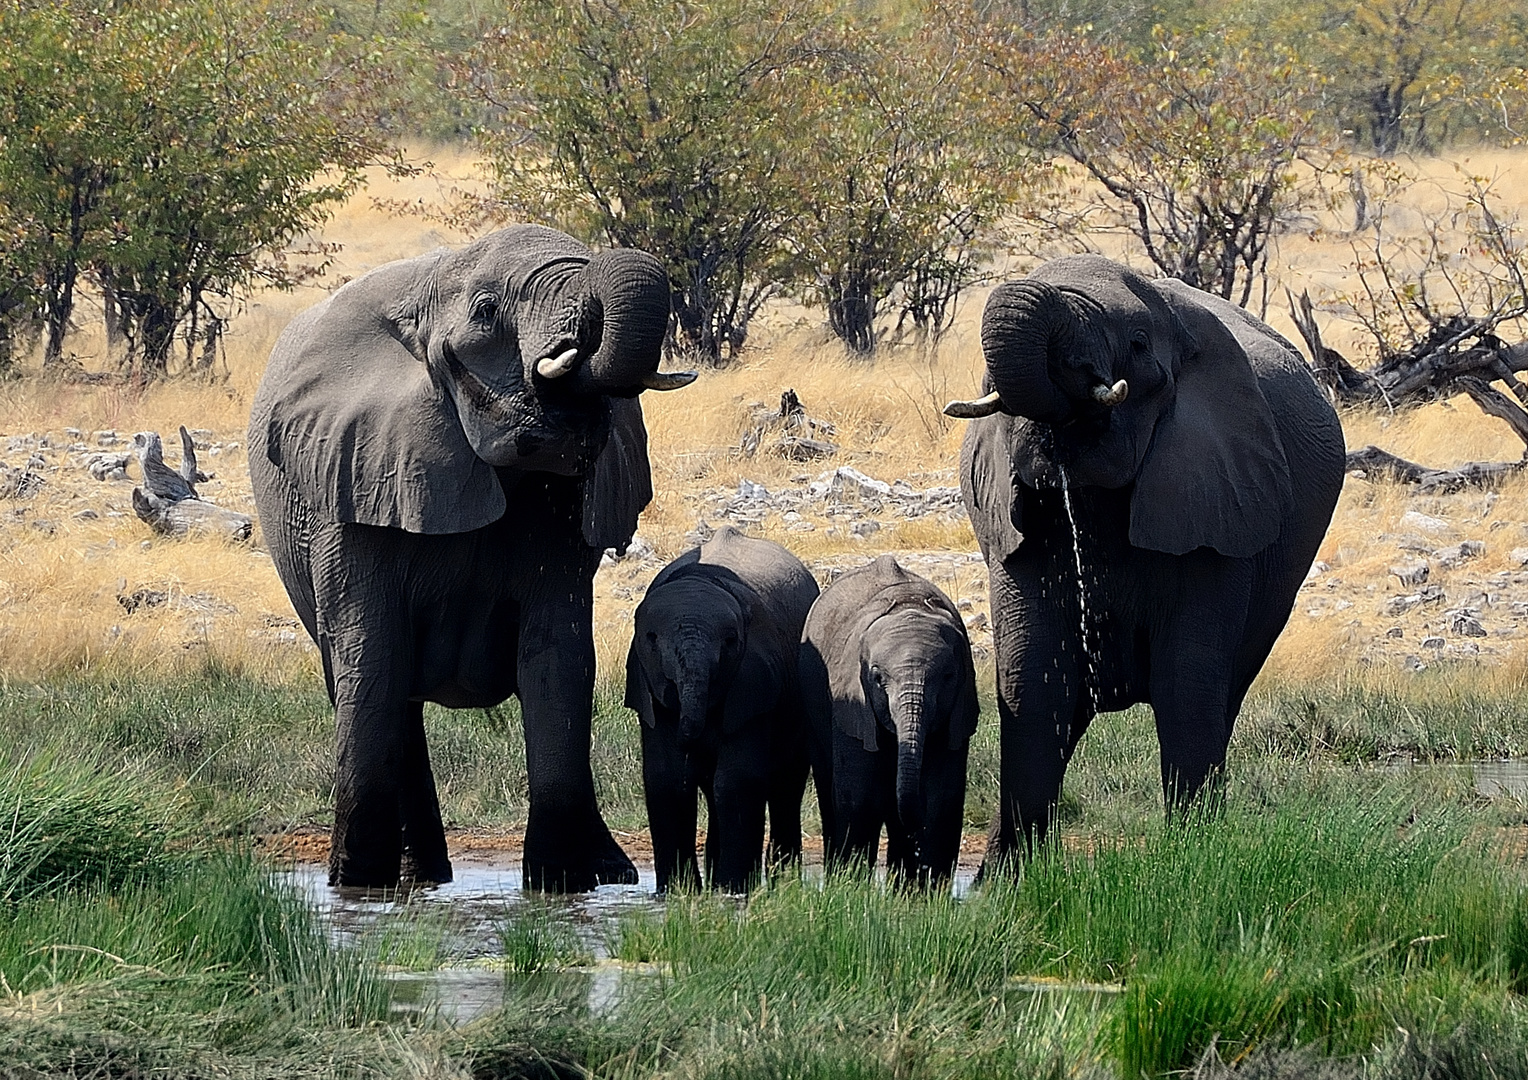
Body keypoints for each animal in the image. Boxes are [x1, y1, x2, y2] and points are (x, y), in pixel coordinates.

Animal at [252, 224, 699, 892]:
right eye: (487, 313)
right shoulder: (353, 479)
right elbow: (372, 655)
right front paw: (356, 886)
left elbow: (558, 660)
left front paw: (559, 885)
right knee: (378, 686)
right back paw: (411, 880)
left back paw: (604, 874)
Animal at [623, 528, 825, 892]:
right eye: (652, 639)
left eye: (731, 640)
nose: (690, 738)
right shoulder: (647, 685)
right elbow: (667, 780)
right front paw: (677, 892)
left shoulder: (756, 679)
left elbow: (737, 781)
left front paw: (733, 889)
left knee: (786, 785)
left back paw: (780, 882)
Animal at [800, 559, 977, 885]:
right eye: (877, 678)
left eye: (948, 677)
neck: (910, 605)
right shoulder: (851, 703)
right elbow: (858, 796)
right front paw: (852, 886)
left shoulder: (957, 710)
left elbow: (941, 799)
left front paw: (925, 890)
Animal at [941, 253, 1338, 867]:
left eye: (1137, 342)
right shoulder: (1015, 523)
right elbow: (1033, 680)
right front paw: (1010, 878)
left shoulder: (1218, 508)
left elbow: (1187, 682)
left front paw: (1191, 860)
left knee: (1222, 693)